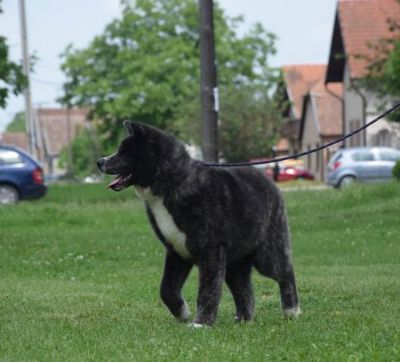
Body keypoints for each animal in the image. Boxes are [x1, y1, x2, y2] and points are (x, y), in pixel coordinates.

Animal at [97, 122, 298, 328]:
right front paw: (182, 314)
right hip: (235, 261)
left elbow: (207, 290)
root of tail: (269, 181)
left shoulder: (210, 250)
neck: (173, 183)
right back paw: (243, 319)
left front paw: (201, 323)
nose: (99, 162)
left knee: (285, 273)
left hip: (267, 253)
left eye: (124, 152)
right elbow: (167, 289)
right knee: (243, 288)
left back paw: (291, 311)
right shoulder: (177, 250)